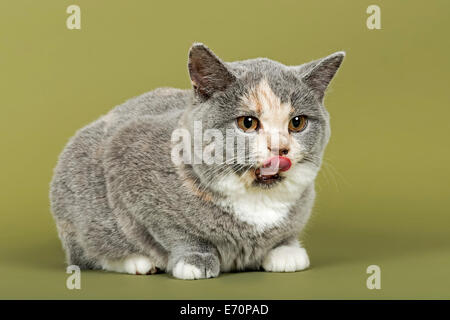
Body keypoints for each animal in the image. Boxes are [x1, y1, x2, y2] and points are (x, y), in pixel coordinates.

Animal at [49, 43, 344, 278]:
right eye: (247, 123)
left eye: (297, 123)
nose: (280, 147)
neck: (255, 203)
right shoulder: (127, 159)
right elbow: (174, 231)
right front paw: (195, 261)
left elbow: (285, 233)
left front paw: (285, 251)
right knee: (87, 251)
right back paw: (138, 262)